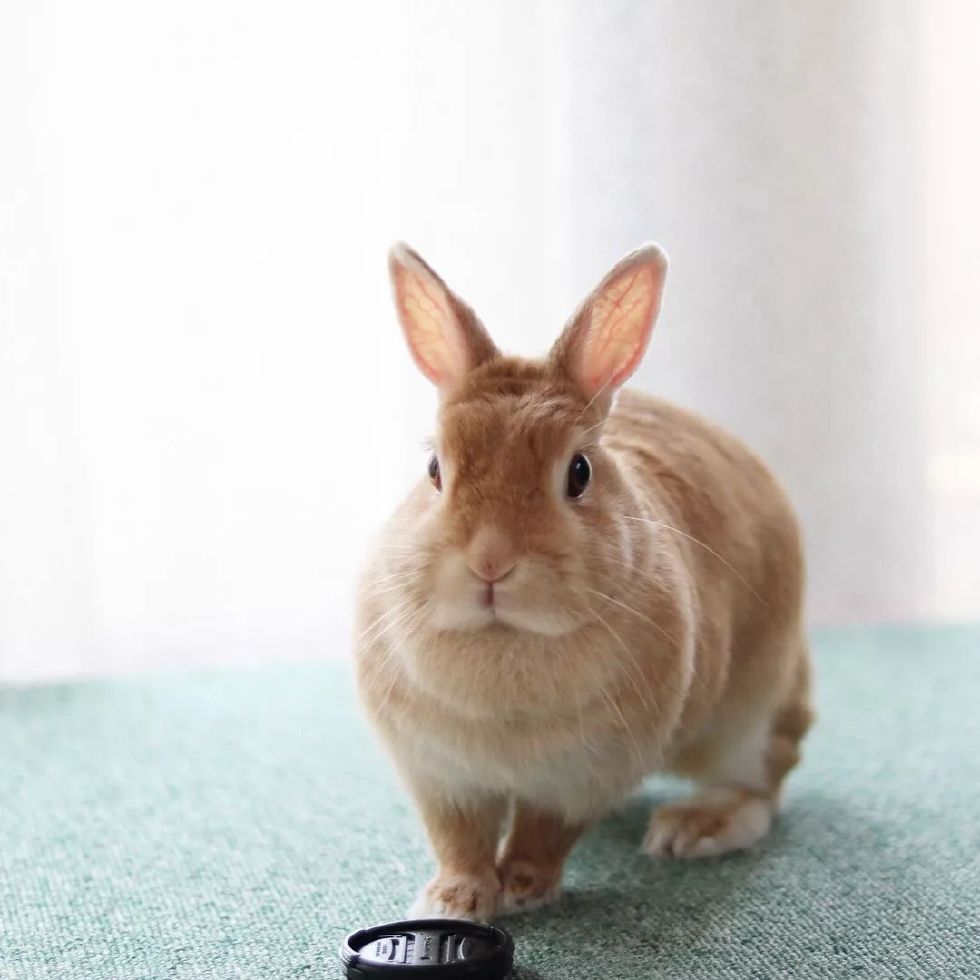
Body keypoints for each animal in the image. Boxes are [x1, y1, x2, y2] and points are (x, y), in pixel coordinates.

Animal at [352, 241, 812, 924]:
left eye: (579, 472)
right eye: (434, 468)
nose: (491, 560)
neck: (505, 638)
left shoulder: (582, 778)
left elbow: (545, 832)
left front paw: (523, 890)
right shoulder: (442, 778)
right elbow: (459, 841)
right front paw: (452, 903)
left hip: (748, 716)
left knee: (765, 784)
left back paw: (693, 828)